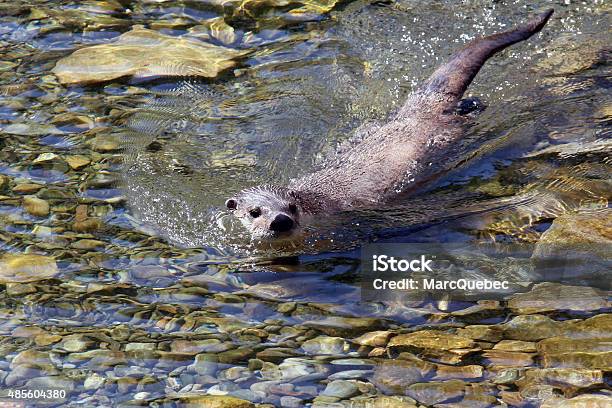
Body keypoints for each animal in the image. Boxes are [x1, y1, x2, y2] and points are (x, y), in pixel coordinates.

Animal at [226, 9, 556, 241]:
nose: (280, 220)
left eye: (291, 208)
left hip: (445, 130)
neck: (318, 205)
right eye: (255, 212)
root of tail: (419, 105)